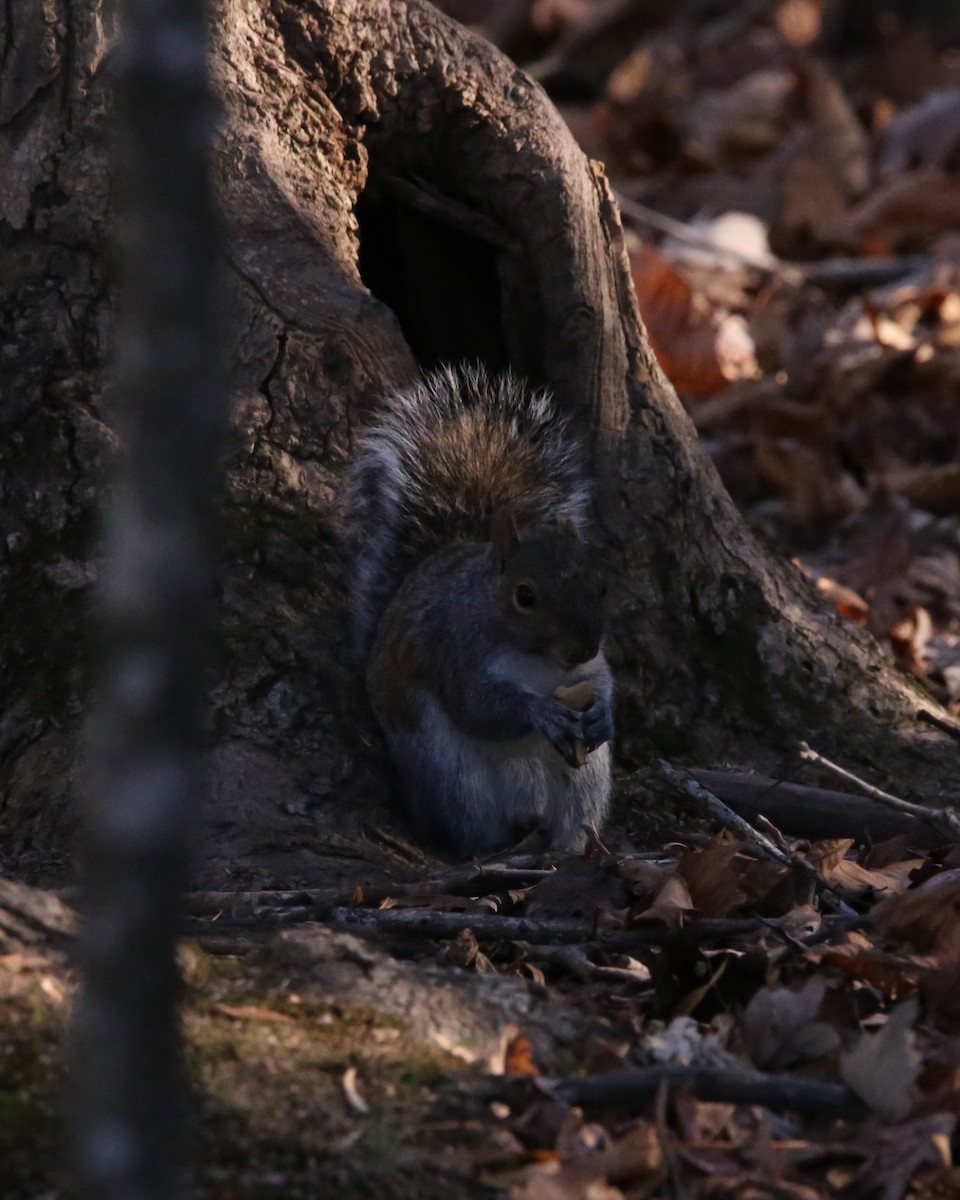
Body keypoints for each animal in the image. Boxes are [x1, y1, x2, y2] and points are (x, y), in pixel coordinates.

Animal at [345, 365, 614, 857]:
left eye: (600, 585)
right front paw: (539, 712)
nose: (581, 649)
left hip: (585, 779)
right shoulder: (456, 650)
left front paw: (604, 713)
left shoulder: (588, 669)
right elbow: (475, 706)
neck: (538, 660)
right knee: (473, 827)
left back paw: (568, 847)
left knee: (574, 816)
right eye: (524, 596)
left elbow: (602, 681)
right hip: (452, 778)